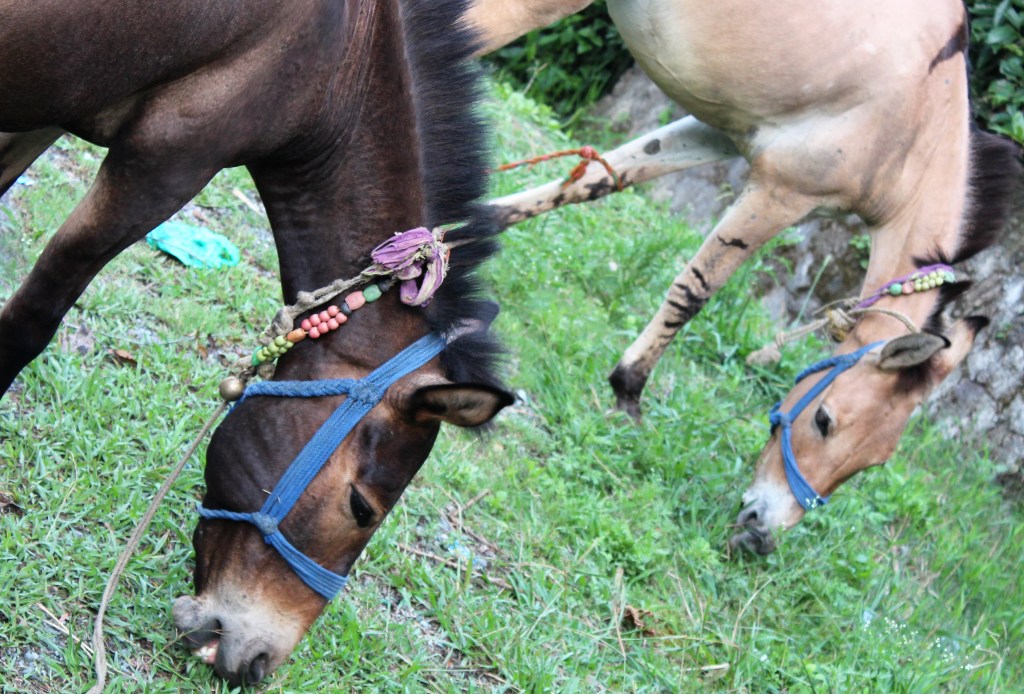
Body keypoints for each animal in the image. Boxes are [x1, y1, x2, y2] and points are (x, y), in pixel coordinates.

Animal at [0, 0, 513, 685]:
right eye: (362, 508)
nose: (262, 663)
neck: (343, 55)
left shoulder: (45, 115)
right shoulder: (162, 166)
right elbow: (32, 321)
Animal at [468, 0, 1022, 552]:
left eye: (875, 461)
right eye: (824, 420)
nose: (760, 533)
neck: (916, 130)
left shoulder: (718, 133)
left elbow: (602, 180)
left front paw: (472, 230)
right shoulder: (782, 193)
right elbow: (695, 291)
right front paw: (628, 391)